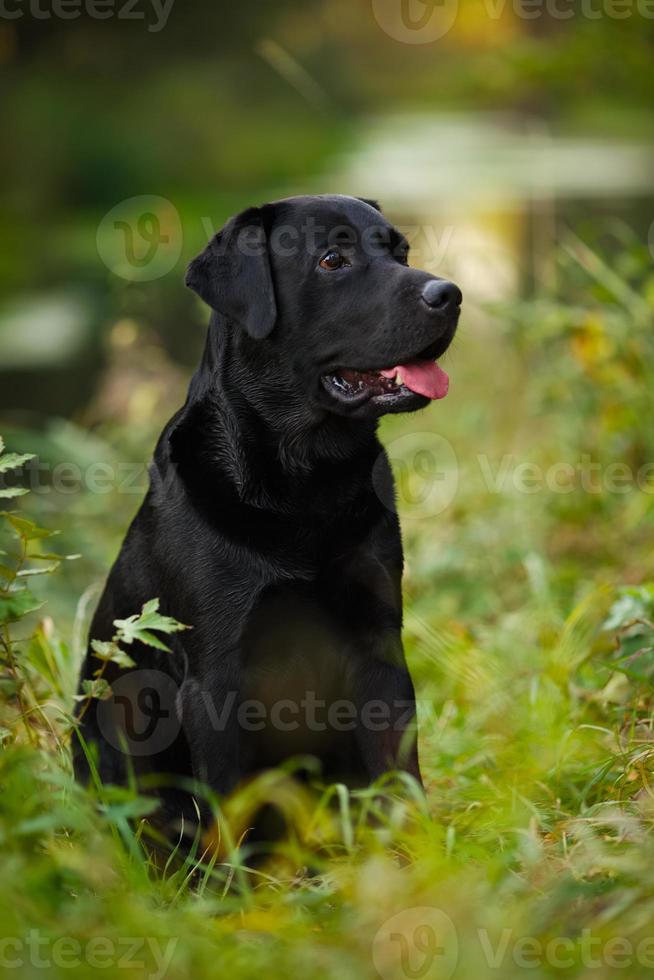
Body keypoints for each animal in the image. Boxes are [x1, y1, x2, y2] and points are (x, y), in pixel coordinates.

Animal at [74, 195, 464, 832]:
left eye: (401, 252)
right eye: (333, 259)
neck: (303, 481)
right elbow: (234, 812)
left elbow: (400, 776)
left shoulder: (379, 647)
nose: (449, 293)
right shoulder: (215, 679)